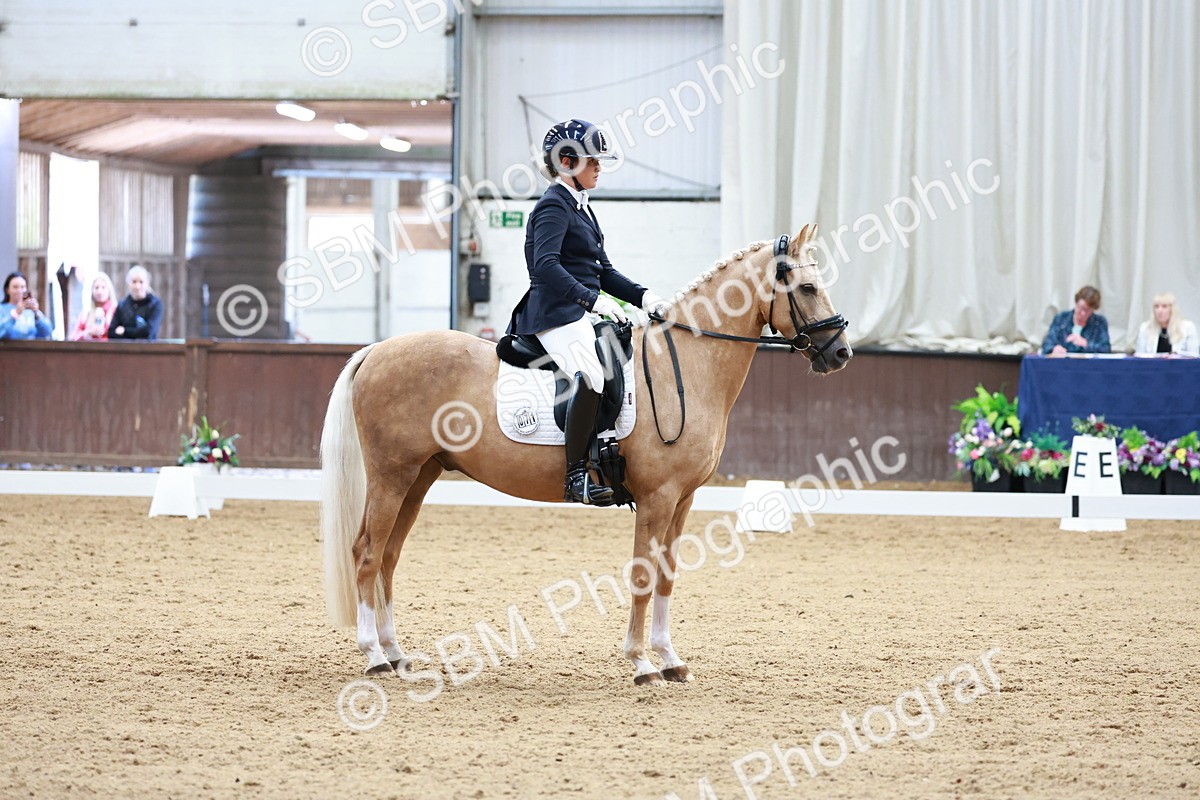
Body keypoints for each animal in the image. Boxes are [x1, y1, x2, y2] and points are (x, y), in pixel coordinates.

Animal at [320, 224, 852, 685]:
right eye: (807, 287)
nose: (841, 353)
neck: (684, 366)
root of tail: (376, 350)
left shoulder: (683, 500)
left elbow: (666, 577)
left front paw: (670, 659)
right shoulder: (658, 497)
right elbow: (642, 574)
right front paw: (641, 663)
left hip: (419, 477)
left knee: (388, 557)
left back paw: (395, 653)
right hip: (391, 475)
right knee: (366, 553)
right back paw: (373, 656)